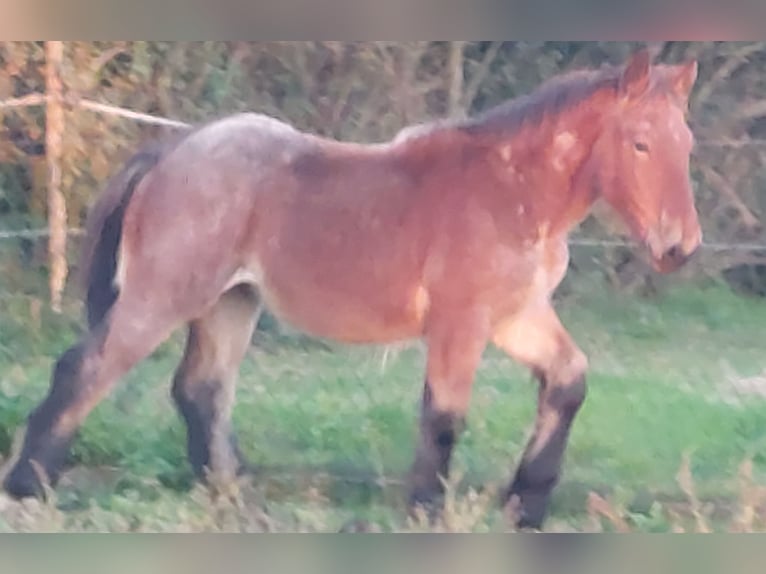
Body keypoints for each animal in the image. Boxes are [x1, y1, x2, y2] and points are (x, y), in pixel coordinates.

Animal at [4, 49, 704, 532]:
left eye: (687, 143)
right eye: (640, 143)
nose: (680, 247)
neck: (513, 190)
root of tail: (173, 150)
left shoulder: (517, 317)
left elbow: (568, 382)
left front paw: (525, 507)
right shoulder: (461, 322)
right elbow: (444, 416)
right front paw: (425, 511)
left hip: (231, 303)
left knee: (200, 390)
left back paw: (233, 498)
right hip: (163, 297)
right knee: (86, 369)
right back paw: (27, 487)